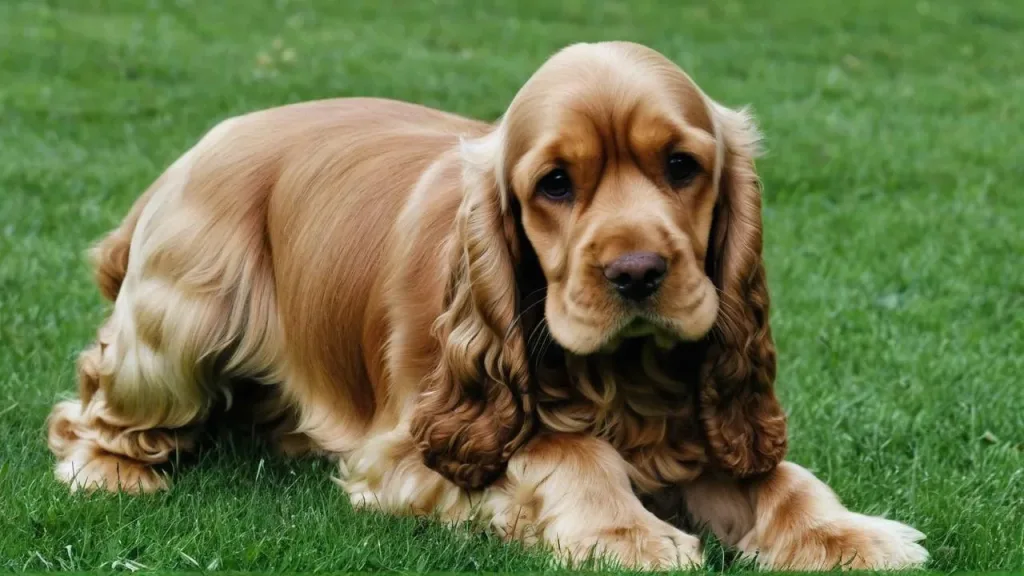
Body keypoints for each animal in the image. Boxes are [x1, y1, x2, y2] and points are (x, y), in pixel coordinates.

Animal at [46, 41, 929, 569]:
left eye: (682, 166)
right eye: (556, 184)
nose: (639, 272)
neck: (624, 379)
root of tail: (200, 146)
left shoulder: (708, 428)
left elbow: (783, 477)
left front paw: (845, 535)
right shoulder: (409, 453)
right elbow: (563, 449)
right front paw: (628, 534)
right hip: (178, 325)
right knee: (86, 408)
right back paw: (112, 471)